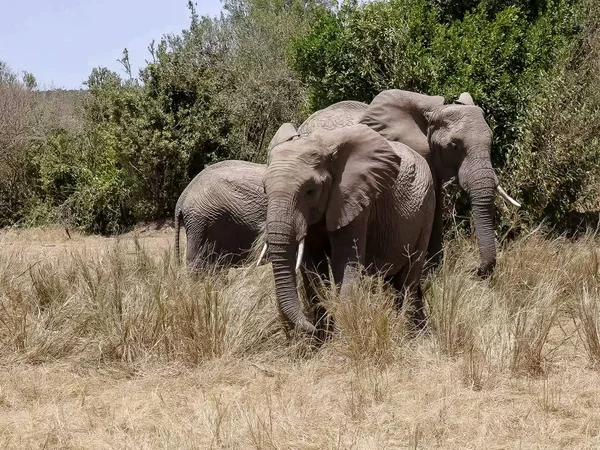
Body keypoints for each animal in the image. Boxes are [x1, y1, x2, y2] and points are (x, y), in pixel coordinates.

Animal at [264, 121, 434, 332]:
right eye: (265, 189)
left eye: (310, 191)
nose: (309, 326)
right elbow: (312, 265)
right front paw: (322, 335)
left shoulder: (355, 198)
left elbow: (344, 260)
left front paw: (341, 334)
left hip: (427, 207)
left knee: (410, 275)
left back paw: (407, 329)